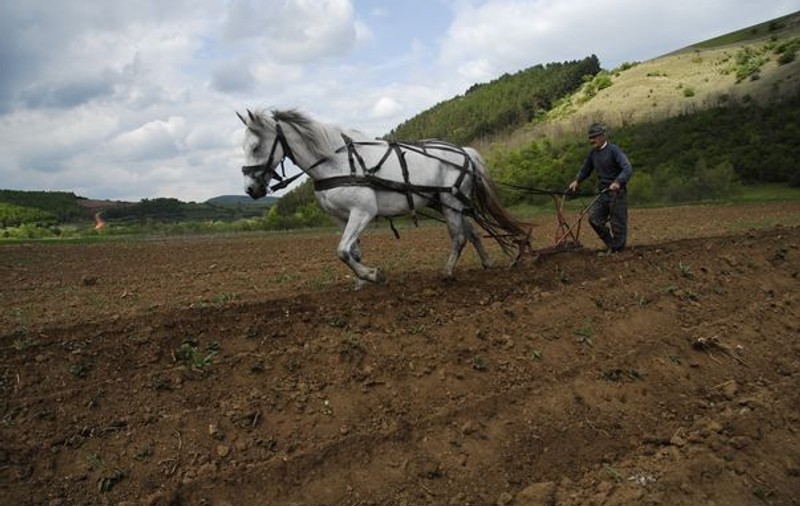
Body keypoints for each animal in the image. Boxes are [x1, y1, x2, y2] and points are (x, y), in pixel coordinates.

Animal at [237, 108, 531, 287]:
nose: (251, 189)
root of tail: (465, 151)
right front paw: (361, 282)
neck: (336, 163)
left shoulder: (363, 212)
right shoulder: (342, 218)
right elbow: (352, 251)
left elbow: (342, 251)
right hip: (448, 204)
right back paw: (487, 263)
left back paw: (447, 273)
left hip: (451, 204)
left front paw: (372, 275)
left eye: (256, 146)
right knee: (473, 233)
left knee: (459, 237)